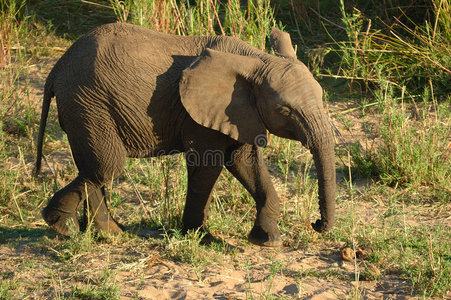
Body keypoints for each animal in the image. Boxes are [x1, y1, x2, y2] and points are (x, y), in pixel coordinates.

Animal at [34, 22, 336, 246]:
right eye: (284, 110)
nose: (316, 224)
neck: (256, 59)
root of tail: (57, 67)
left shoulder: (239, 112)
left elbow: (245, 163)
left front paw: (267, 241)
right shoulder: (200, 114)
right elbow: (209, 166)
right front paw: (203, 238)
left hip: (84, 105)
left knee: (94, 167)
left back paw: (108, 233)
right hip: (87, 102)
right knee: (106, 166)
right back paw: (61, 226)